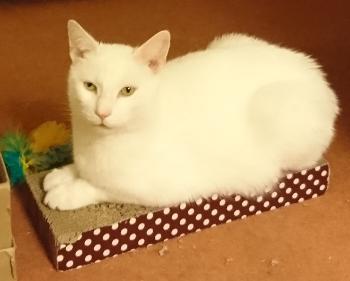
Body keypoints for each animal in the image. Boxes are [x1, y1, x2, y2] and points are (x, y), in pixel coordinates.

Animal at [42, 19, 338, 209]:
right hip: (227, 40)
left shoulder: (162, 188)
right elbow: (82, 169)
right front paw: (62, 174)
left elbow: (102, 187)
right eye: (90, 86)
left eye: (127, 91)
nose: (102, 112)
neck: (96, 143)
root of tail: (318, 74)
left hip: (275, 109)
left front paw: (67, 192)